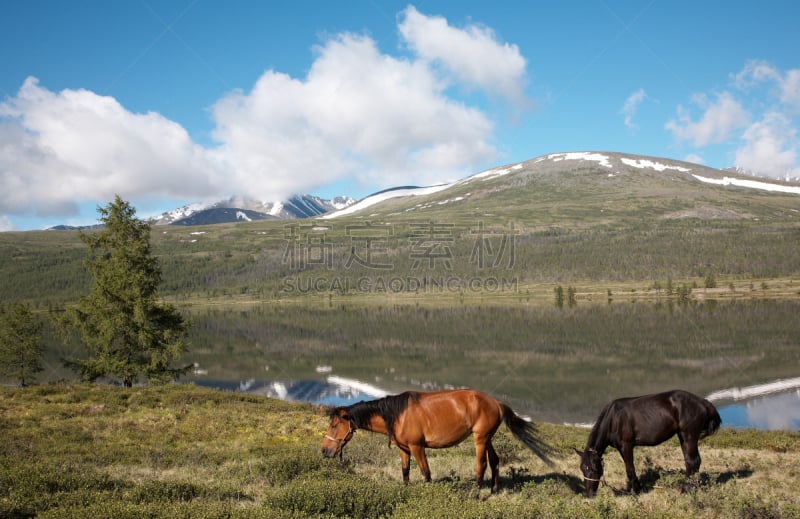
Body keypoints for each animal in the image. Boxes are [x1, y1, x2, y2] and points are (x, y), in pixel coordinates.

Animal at [322, 390, 552, 492]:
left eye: (334, 425)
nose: (325, 451)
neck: (397, 414)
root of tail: (496, 403)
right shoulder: (404, 449)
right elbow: (405, 472)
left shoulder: (417, 447)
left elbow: (426, 473)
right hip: (488, 438)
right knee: (495, 461)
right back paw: (494, 490)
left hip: (480, 439)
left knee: (482, 464)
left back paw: (477, 494)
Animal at [576, 392, 720, 498]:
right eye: (582, 469)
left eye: (594, 469)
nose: (589, 494)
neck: (613, 418)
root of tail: (703, 402)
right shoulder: (620, 448)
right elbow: (629, 468)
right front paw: (637, 488)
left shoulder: (627, 445)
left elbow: (630, 469)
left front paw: (636, 492)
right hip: (682, 436)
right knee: (690, 462)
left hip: (689, 435)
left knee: (693, 461)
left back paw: (687, 490)